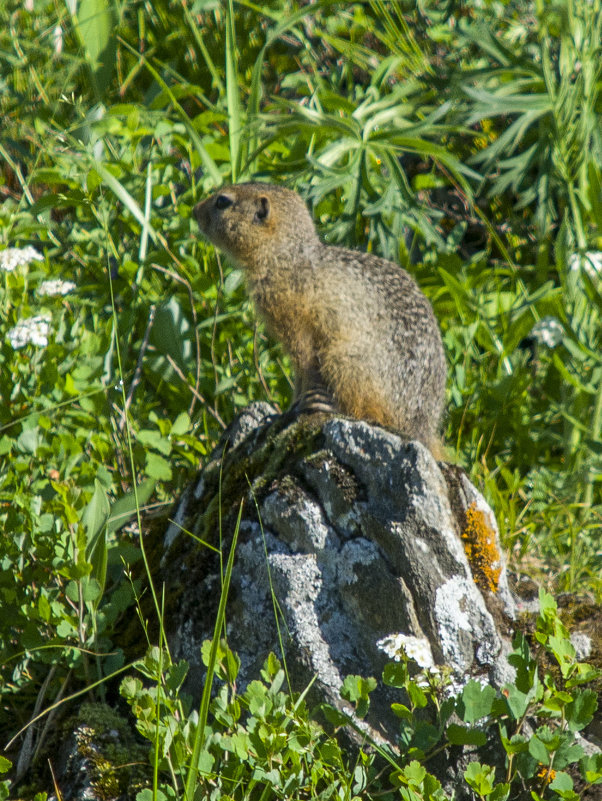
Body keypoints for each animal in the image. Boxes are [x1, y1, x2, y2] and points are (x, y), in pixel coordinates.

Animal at [193, 184, 446, 454]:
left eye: (222, 201)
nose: (194, 210)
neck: (286, 255)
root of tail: (422, 429)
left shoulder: (292, 318)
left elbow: (303, 365)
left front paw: (290, 408)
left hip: (343, 358)